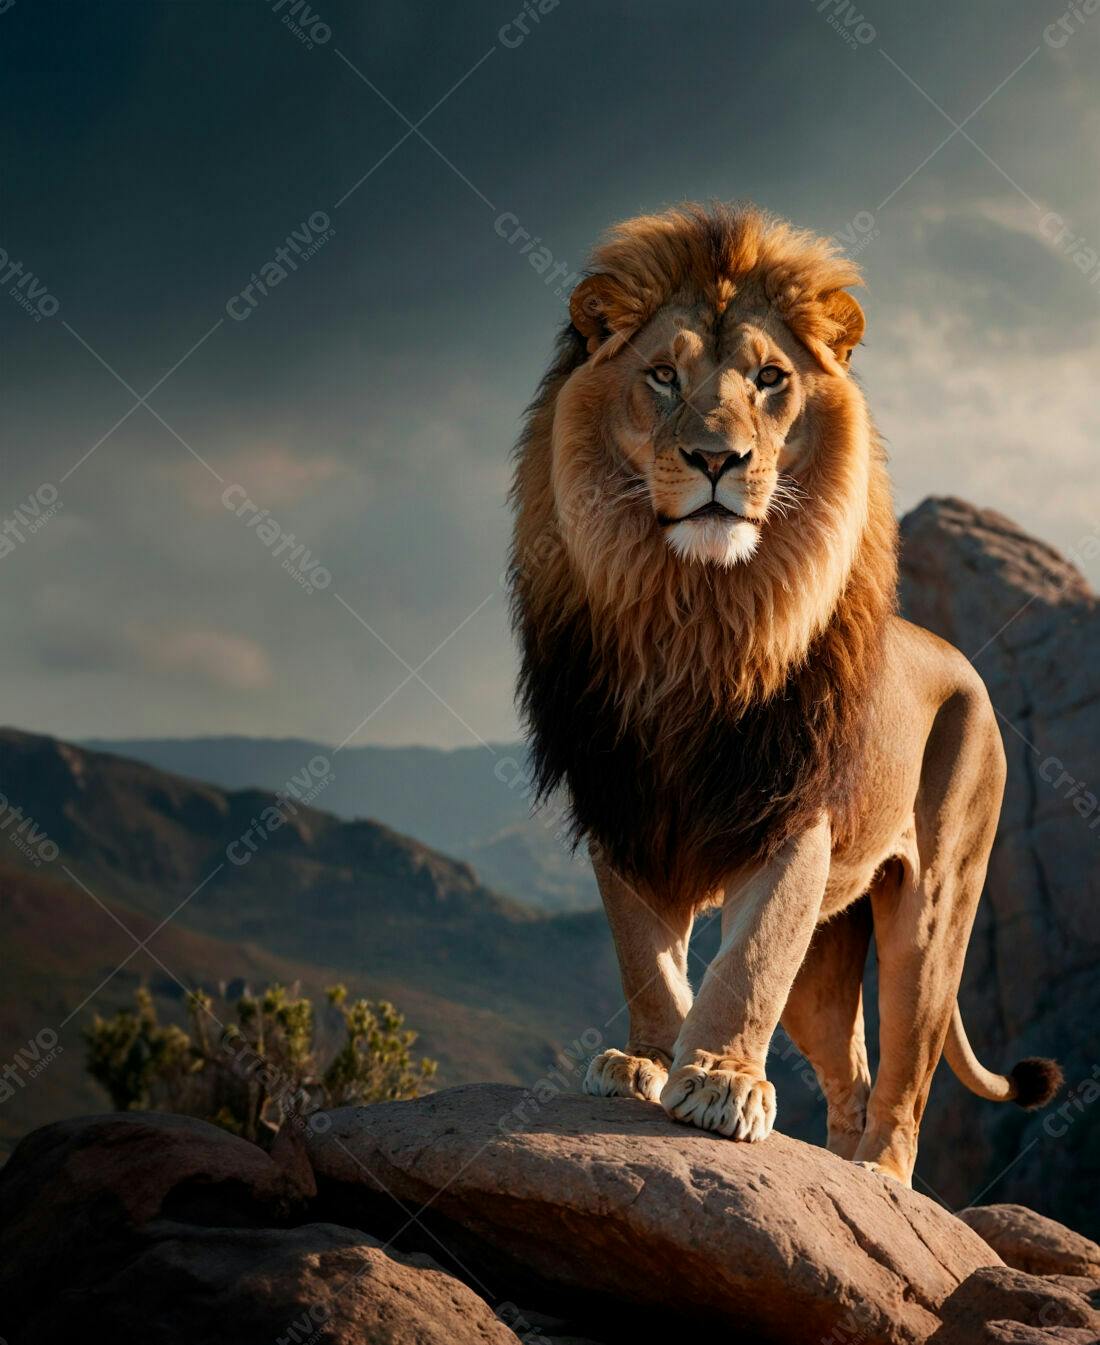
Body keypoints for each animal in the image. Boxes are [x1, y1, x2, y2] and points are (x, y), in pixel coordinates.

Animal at [508, 203, 1061, 1185]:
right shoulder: (623, 803)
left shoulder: (792, 815)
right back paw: (840, 1166)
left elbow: (748, 959)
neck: (697, 615)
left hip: (934, 909)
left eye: (770, 379)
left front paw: (722, 1080)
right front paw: (645, 1060)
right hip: (828, 952)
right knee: (852, 1074)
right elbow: (646, 954)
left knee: (905, 1075)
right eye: (663, 375)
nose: (715, 458)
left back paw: (879, 1180)